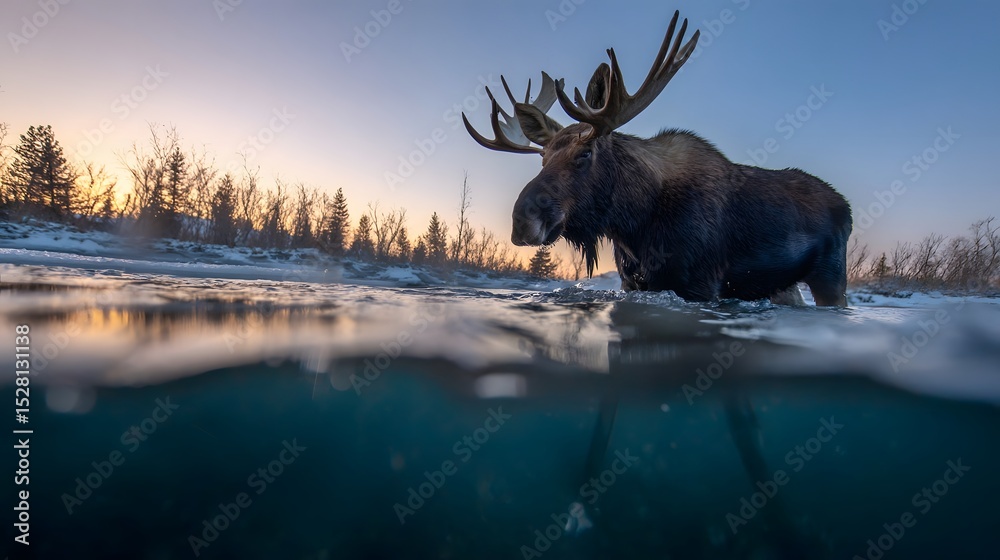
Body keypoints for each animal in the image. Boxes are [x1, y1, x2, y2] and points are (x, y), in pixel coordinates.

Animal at [463, 10, 852, 307]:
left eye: (584, 153)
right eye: (541, 159)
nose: (522, 220)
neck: (634, 222)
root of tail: (845, 205)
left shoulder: (700, 284)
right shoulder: (632, 282)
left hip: (831, 274)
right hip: (783, 285)